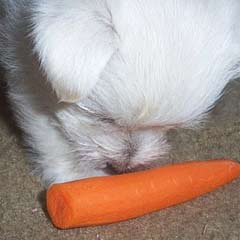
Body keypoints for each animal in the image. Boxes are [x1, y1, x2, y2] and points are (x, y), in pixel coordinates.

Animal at [0, 0, 240, 185]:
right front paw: (77, 178)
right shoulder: (26, 74)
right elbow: (48, 133)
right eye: (103, 119)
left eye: (170, 128)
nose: (121, 167)